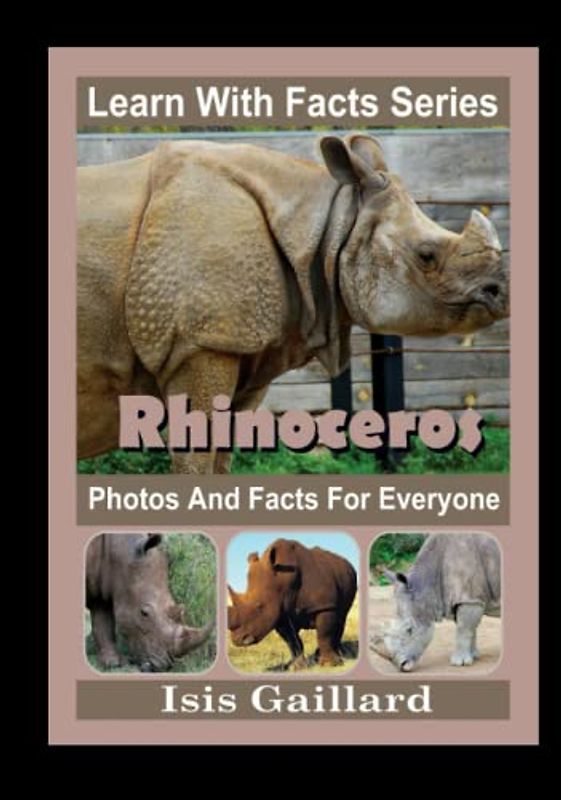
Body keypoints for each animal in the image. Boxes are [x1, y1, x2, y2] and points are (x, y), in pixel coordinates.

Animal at [78, 134, 509, 473]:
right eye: (426, 256)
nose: (500, 293)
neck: (329, 225)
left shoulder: (244, 351)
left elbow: (221, 458)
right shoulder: (198, 343)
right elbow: (195, 459)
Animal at [86, 533, 214, 672]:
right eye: (144, 613)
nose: (163, 666)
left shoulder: (102, 586)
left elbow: (102, 622)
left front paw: (113, 663)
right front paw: (113, 663)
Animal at [227, 538, 357, 669]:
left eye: (259, 606)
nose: (238, 640)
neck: (283, 579)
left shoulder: (325, 605)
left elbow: (324, 634)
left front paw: (329, 664)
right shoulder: (280, 613)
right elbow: (292, 641)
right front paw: (297, 667)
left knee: (342, 616)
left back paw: (336, 655)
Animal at [371, 533, 501, 672]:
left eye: (410, 630)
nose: (402, 666)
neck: (426, 585)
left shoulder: (470, 598)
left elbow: (463, 628)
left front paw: (460, 663)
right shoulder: (466, 599)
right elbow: (470, 628)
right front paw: (473, 657)